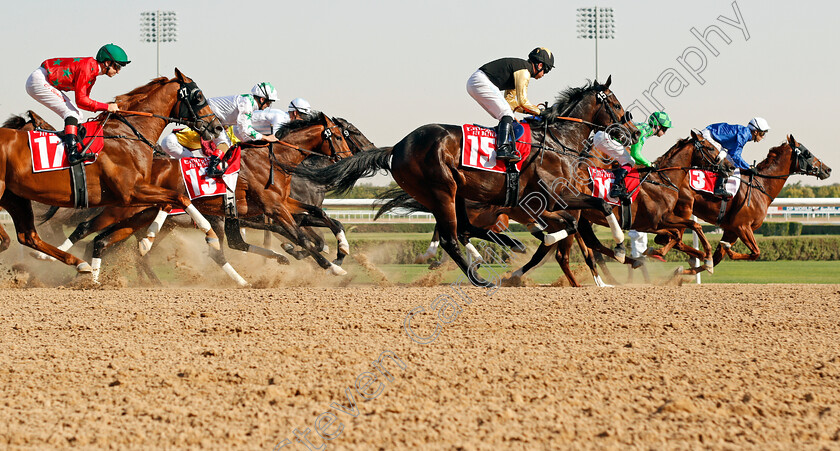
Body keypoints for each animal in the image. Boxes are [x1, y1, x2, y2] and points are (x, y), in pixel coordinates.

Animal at [0, 70, 223, 274]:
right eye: (198, 96)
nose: (217, 127)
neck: (128, 135)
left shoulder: (135, 195)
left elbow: (172, 199)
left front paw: (147, 240)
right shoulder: (130, 192)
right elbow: (180, 197)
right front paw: (210, 234)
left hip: (15, 197)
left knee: (28, 236)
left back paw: (75, 263)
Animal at [298, 76, 640, 284]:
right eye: (615, 103)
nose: (634, 132)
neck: (557, 140)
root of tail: (397, 148)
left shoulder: (546, 202)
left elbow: (572, 223)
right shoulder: (552, 195)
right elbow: (597, 209)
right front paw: (620, 248)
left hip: (458, 194)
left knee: (464, 230)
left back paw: (510, 248)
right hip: (442, 191)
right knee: (452, 238)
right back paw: (481, 279)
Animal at [648, 132, 832, 270]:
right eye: (807, 153)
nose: (828, 169)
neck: (761, 185)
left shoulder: (731, 230)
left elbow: (718, 257)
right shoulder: (742, 226)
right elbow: (756, 252)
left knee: (667, 238)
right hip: (684, 209)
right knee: (674, 238)